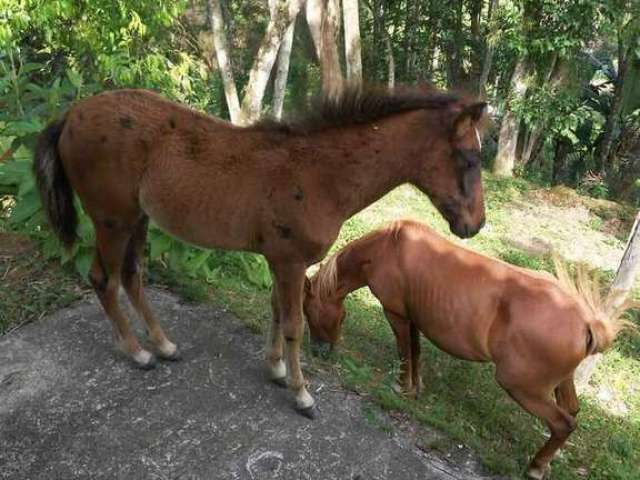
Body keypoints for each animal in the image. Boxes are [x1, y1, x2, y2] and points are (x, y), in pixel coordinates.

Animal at [33, 88, 484, 418]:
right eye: (470, 158)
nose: (475, 224)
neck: (323, 175)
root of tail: (71, 114)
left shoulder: (279, 260)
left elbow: (275, 310)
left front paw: (276, 369)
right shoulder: (290, 261)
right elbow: (294, 324)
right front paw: (302, 395)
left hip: (138, 219)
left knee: (131, 276)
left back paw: (164, 346)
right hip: (112, 220)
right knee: (104, 280)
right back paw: (139, 353)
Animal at [304, 219, 636, 474]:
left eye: (308, 313)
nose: (319, 351)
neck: (388, 247)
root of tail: (586, 321)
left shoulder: (396, 314)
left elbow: (404, 353)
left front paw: (401, 387)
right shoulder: (414, 319)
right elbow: (415, 353)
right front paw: (415, 389)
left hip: (521, 386)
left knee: (563, 424)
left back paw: (536, 467)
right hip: (560, 382)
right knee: (572, 410)